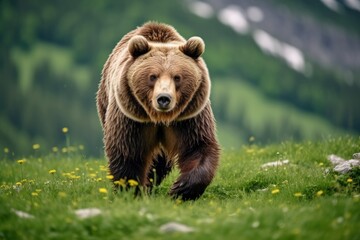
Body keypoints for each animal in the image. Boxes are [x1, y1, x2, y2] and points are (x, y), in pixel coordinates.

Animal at [96, 21, 219, 201]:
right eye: (152, 76)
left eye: (177, 77)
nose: (163, 98)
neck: (160, 117)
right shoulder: (131, 118)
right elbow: (127, 151)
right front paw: (132, 190)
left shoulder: (190, 116)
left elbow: (197, 146)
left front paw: (181, 188)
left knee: (160, 161)